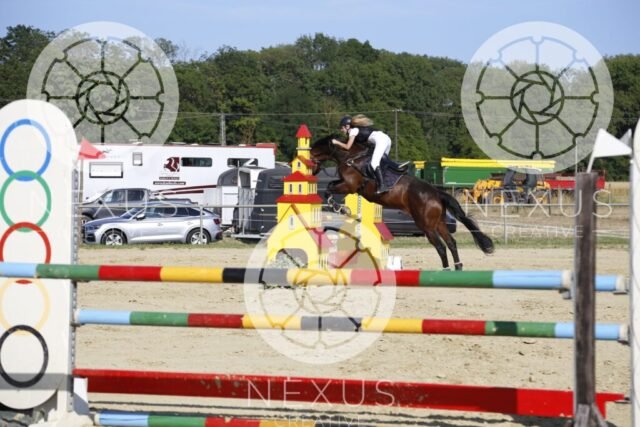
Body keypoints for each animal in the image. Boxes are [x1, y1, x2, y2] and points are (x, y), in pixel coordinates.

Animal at [310, 135, 494, 270]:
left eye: (310, 156)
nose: (312, 172)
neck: (351, 157)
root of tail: (436, 193)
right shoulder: (346, 184)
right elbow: (330, 186)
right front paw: (338, 206)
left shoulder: (350, 185)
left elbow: (329, 189)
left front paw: (338, 207)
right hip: (439, 222)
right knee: (451, 243)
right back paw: (457, 268)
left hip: (426, 225)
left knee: (441, 246)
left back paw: (446, 270)